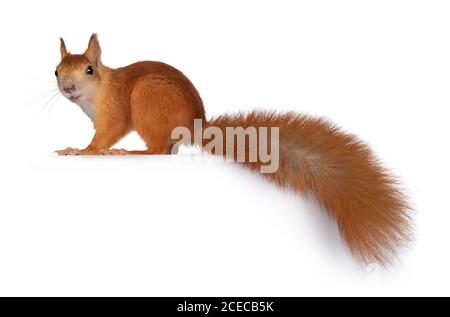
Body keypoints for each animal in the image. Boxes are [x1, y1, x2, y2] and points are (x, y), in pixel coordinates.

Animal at [52, 33, 412, 262]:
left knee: (158, 149)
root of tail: (195, 125)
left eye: (89, 70)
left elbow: (105, 136)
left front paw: (80, 150)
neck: (97, 92)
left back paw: (132, 154)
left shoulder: (114, 113)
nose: (68, 88)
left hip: (147, 100)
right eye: (56, 71)